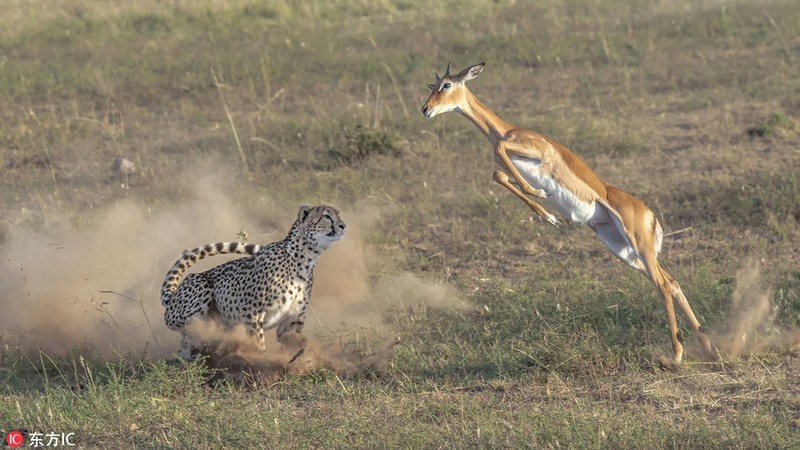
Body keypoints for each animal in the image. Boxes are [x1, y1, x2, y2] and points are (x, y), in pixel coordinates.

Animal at [161, 205, 346, 358]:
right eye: (326, 216)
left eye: (338, 214)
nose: (343, 226)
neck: (305, 257)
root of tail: (172, 295)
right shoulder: (251, 313)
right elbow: (258, 342)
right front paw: (260, 361)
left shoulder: (292, 320)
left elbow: (293, 339)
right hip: (199, 285)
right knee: (190, 334)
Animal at [424, 61, 712, 362]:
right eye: (431, 86)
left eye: (446, 85)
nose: (425, 109)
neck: (505, 129)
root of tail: (651, 216)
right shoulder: (506, 168)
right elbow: (498, 174)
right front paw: (547, 214)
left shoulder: (536, 153)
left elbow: (503, 152)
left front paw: (540, 195)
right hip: (626, 252)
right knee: (672, 282)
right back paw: (707, 347)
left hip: (639, 246)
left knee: (664, 286)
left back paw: (676, 355)